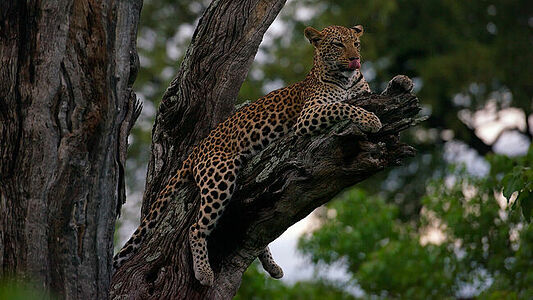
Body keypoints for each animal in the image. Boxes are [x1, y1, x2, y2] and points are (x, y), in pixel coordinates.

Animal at [113, 24, 408, 286]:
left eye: (356, 43)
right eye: (338, 45)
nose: (355, 59)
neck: (344, 79)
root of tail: (199, 146)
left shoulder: (362, 91)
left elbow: (371, 93)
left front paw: (402, 81)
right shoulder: (309, 115)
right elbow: (342, 107)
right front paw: (370, 119)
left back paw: (272, 266)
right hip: (220, 176)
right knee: (196, 228)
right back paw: (204, 272)